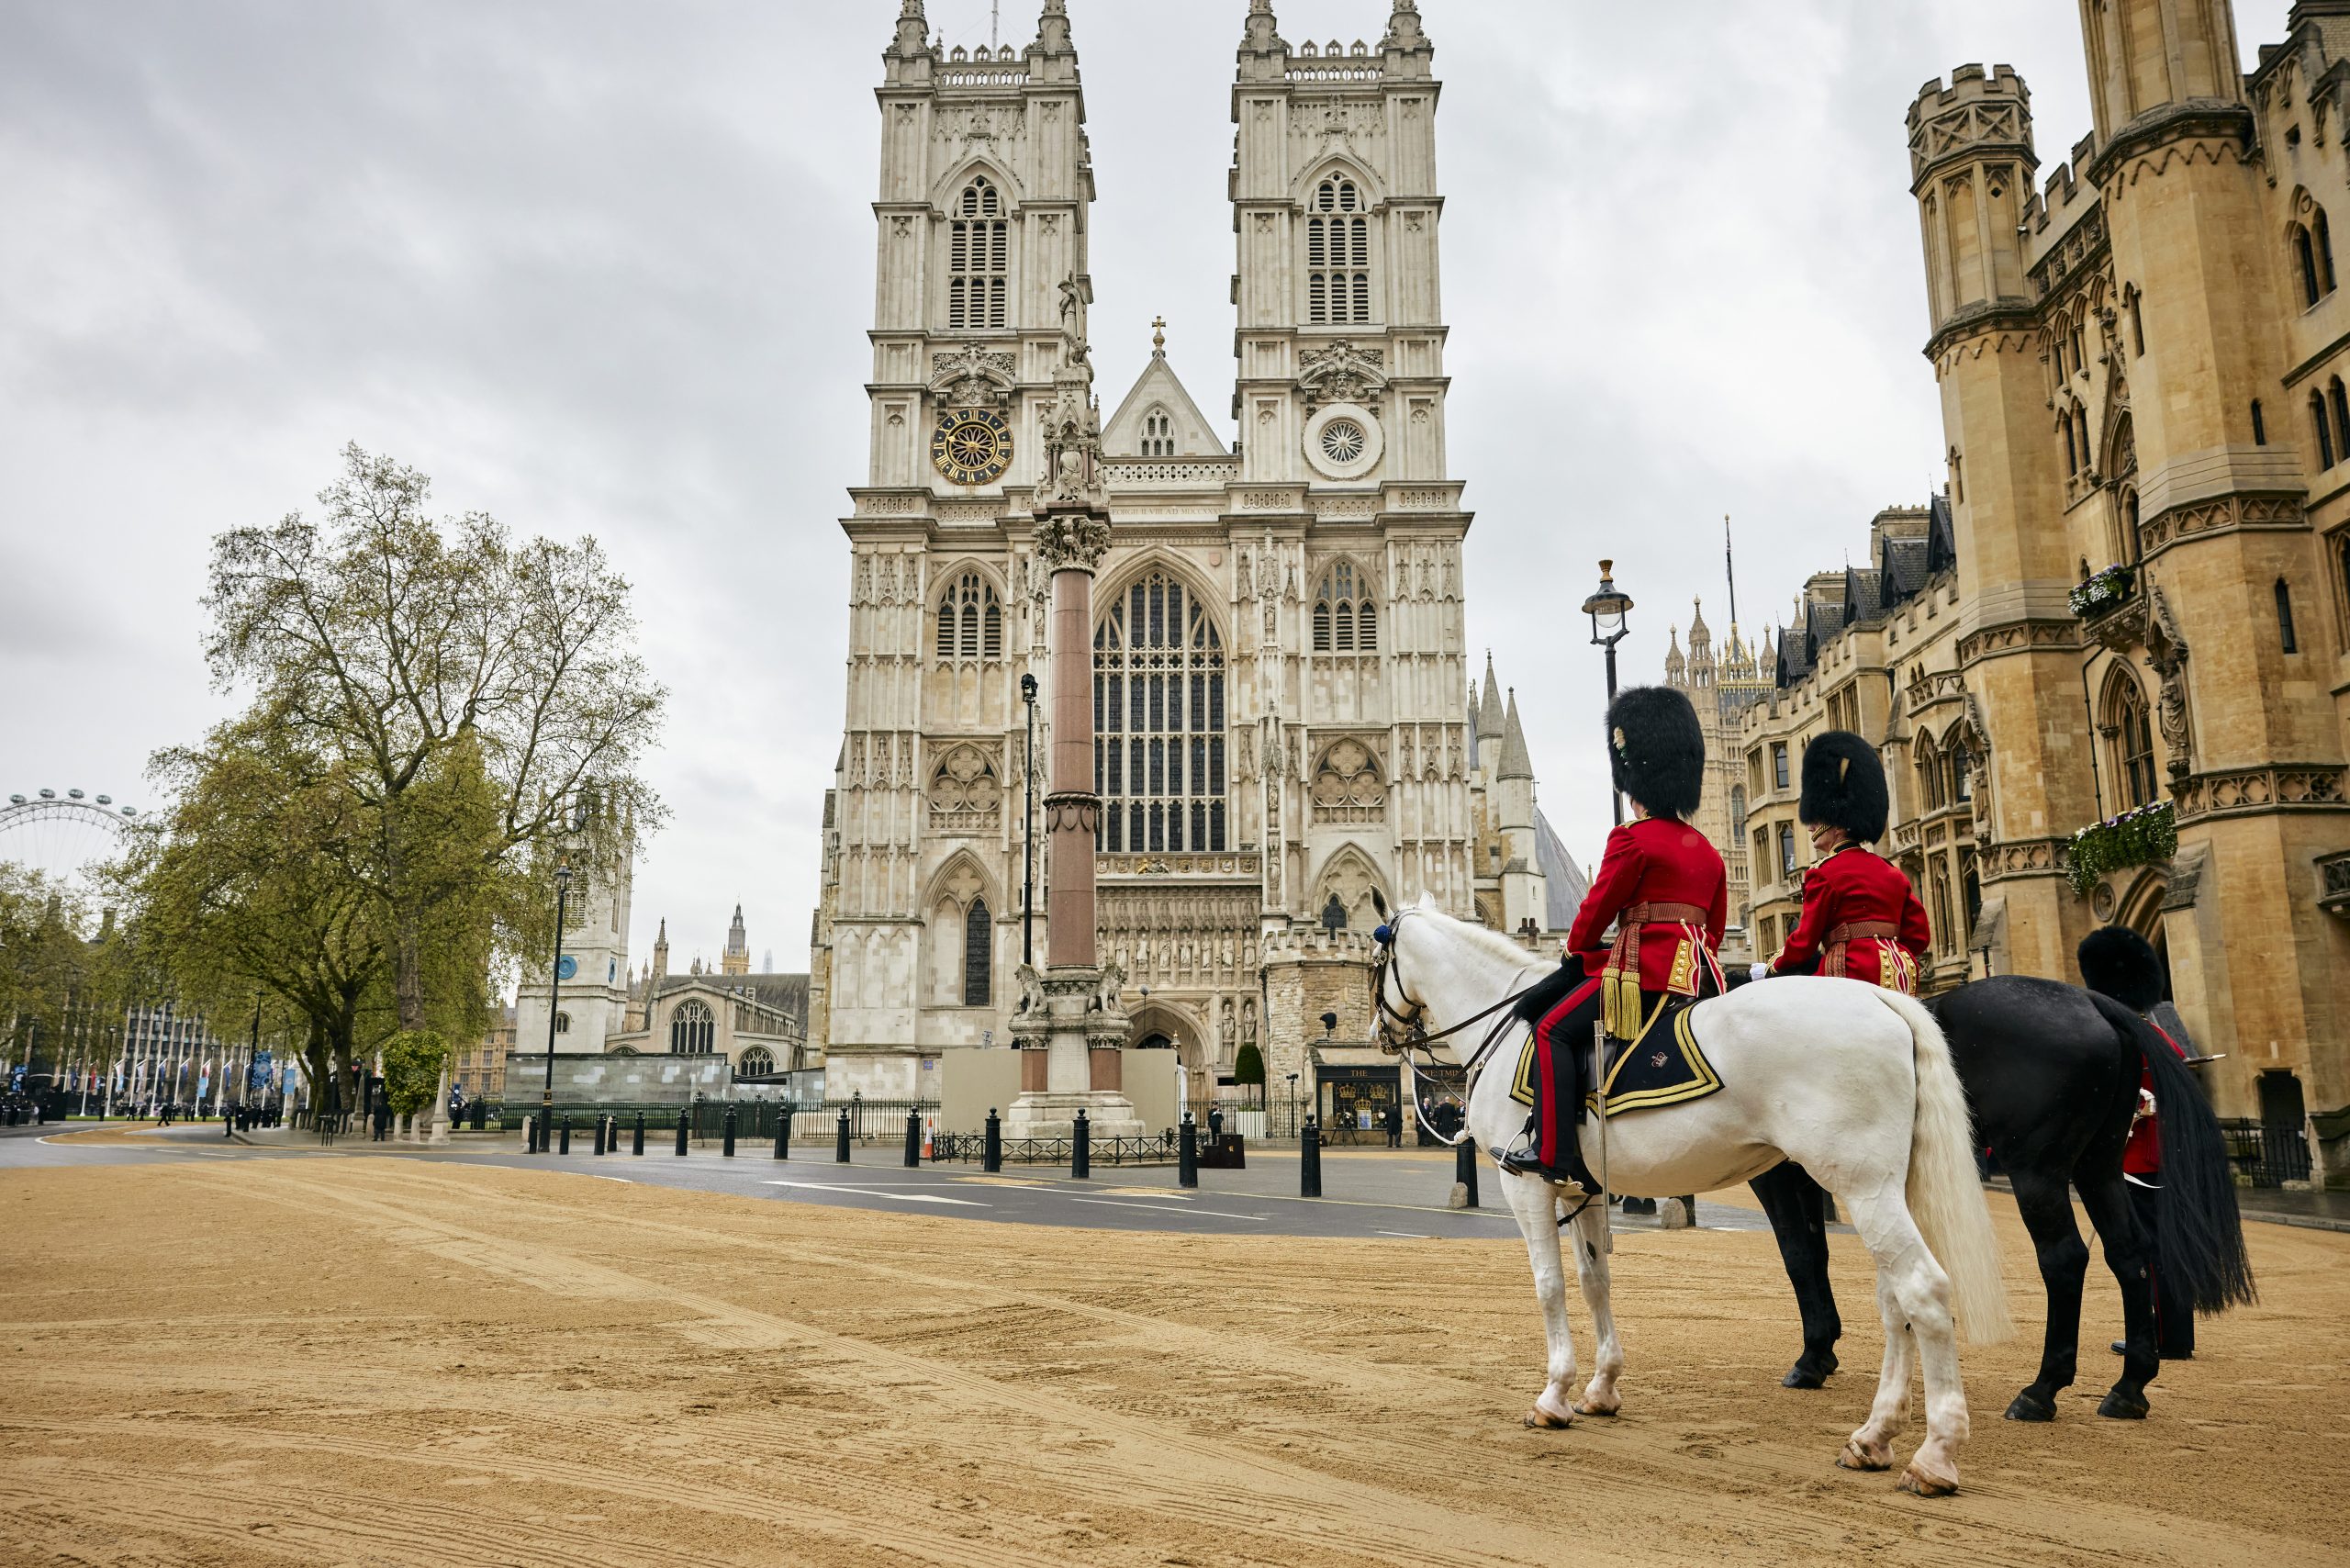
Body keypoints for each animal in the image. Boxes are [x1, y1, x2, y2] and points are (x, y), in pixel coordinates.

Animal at [1372, 893, 2020, 1495]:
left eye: (1377, 956)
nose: (1380, 1031)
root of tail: (1882, 1000)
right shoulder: (1584, 1186)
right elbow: (1594, 1281)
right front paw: (1602, 1387)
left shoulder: (1526, 1183)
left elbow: (1550, 1286)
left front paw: (1554, 1394)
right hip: (1884, 1187)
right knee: (1895, 1302)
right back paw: (1874, 1436)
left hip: (1861, 1185)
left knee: (1924, 1291)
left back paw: (1935, 1455)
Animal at [1757, 940, 2246, 1428]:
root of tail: (2091, 1000)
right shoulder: (1808, 1172)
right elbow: (1816, 1252)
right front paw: (1825, 1350)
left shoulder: (1775, 1173)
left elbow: (1798, 1255)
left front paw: (1812, 1358)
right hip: (2099, 1164)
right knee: (2129, 1251)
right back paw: (2129, 1387)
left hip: (2037, 1170)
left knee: (2065, 1258)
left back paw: (2041, 1390)